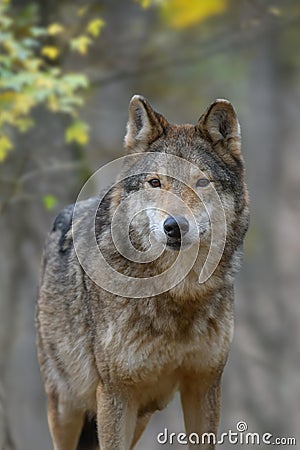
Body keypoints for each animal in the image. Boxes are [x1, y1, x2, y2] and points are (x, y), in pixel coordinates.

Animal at [36, 96, 250, 450]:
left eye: (201, 182)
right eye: (155, 182)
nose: (175, 226)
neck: (178, 295)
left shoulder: (204, 385)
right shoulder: (116, 393)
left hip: (144, 413)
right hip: (67, 406)